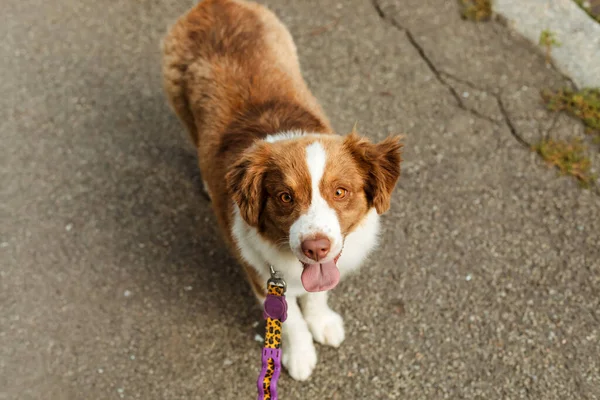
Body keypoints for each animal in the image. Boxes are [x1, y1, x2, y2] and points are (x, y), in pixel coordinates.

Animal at [162, 0, 400, 380]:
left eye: (340, 192)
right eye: (285, 197)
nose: (316, 248)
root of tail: (215, 3)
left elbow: (316, 295)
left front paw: (322, 322)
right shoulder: (260, 275)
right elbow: (290, 321)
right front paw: (299, 355)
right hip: (179, 100)